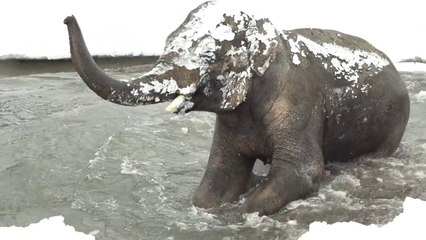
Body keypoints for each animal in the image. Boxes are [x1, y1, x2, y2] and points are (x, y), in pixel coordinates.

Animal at [64, 0, 410, 215]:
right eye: (167, 41)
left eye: (208, 56)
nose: (67, 17)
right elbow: (216, 181)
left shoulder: (300, 103)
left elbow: (303, 173)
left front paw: (245, 208)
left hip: (394, 125)